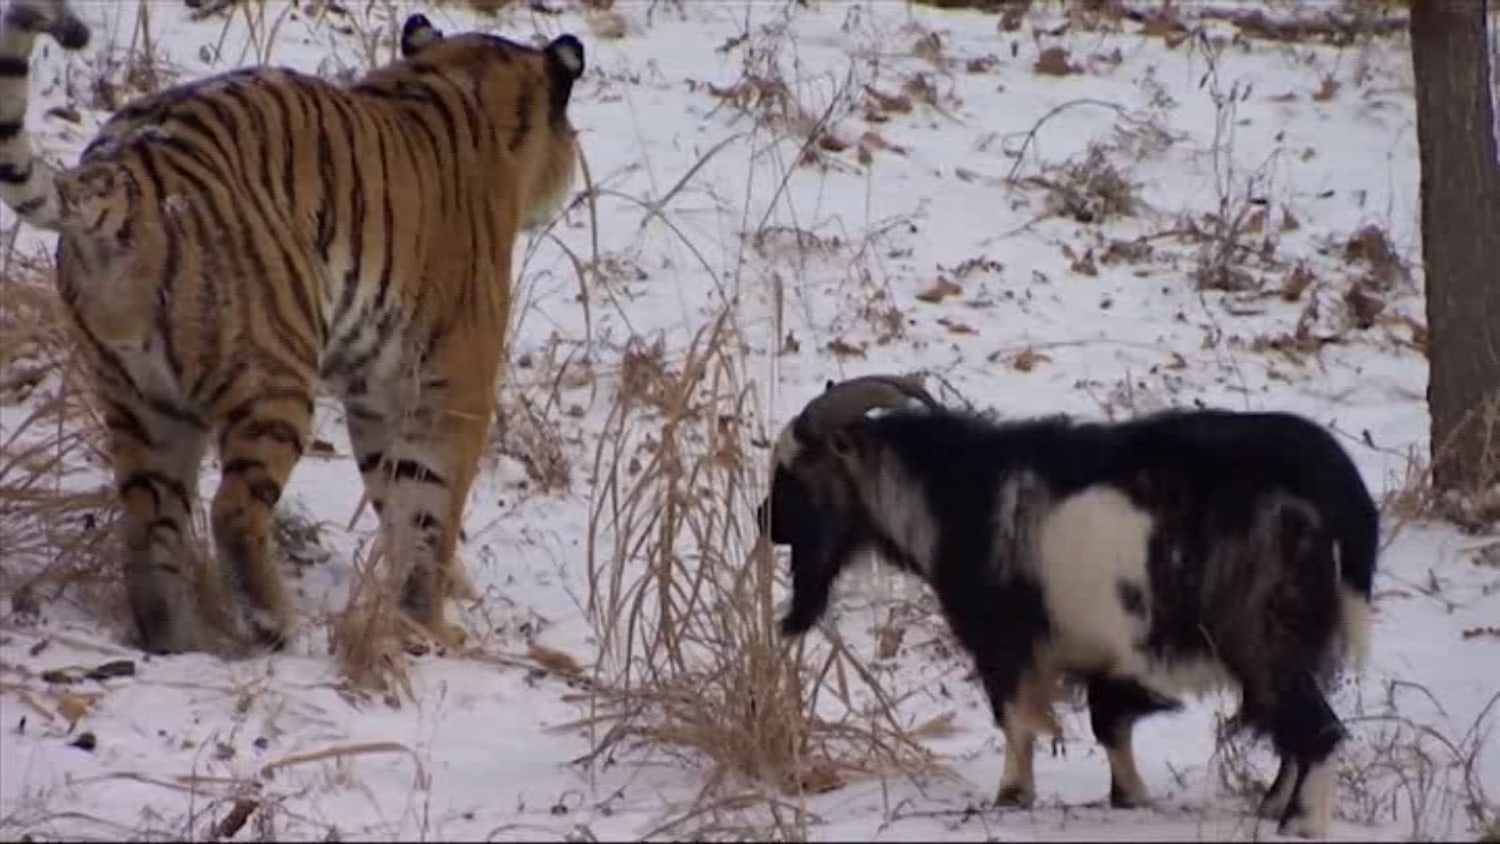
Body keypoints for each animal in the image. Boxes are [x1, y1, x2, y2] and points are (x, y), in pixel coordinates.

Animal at [0, 0, 586, 656]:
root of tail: (124, 170)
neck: (460, 83)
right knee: (232, 509)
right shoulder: (450, 386)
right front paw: (431, 628)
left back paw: (180, 641)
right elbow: (429, 511)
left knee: (149, 525)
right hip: (272, 373)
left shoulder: (377, 392)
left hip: (142, 400)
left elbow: (396, 497)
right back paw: (273, 622)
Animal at [756, 377, 1378, 839]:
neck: (956, 494)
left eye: (795, 468)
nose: (766, 522)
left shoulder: (1004, 639)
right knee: (1293, 729)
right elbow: (1110, 723)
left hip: (1264, 632)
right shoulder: (1107, 655)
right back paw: (1272, 807)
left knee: (1318, 729)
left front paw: (1012, 796)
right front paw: (1129, 797)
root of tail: (1337, 496)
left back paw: (1299, 826)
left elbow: (1016, 718)